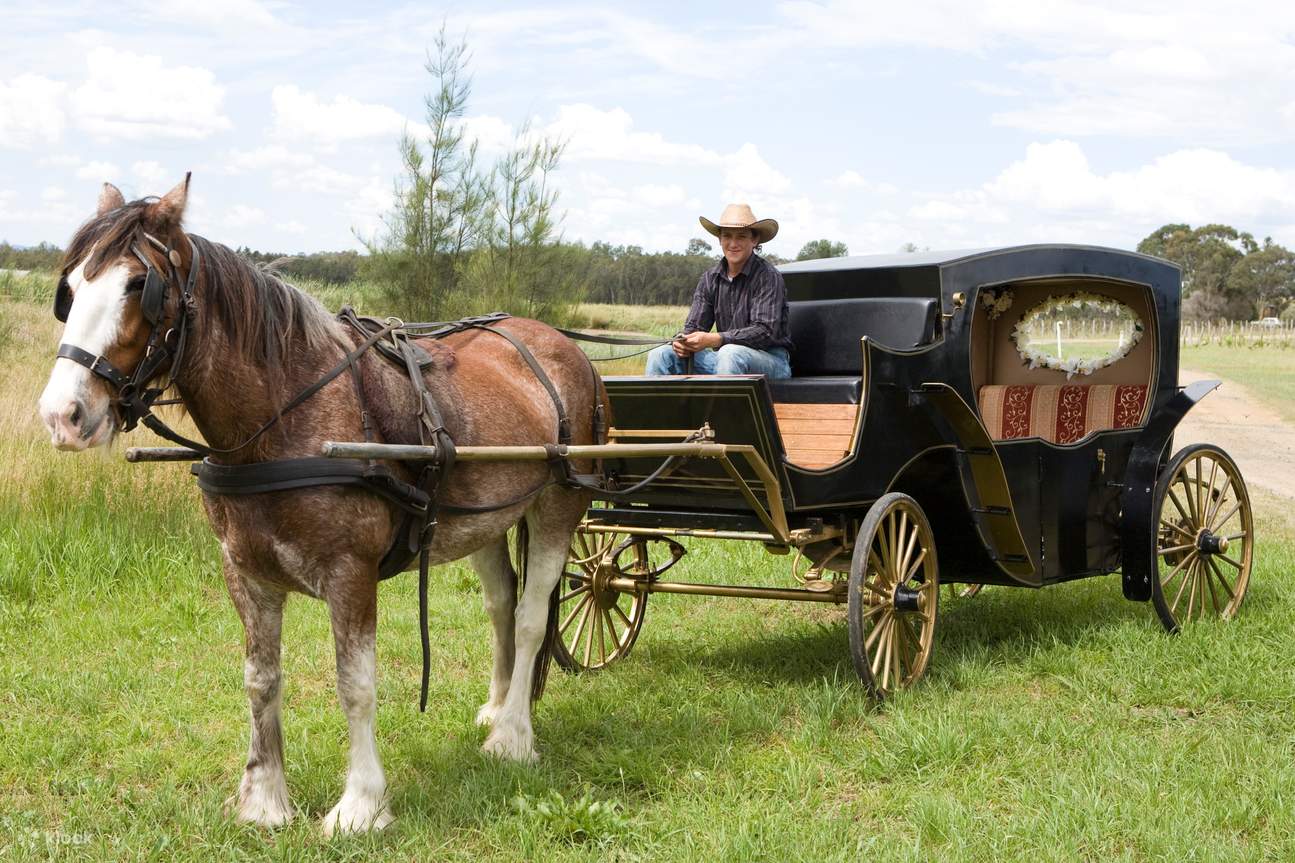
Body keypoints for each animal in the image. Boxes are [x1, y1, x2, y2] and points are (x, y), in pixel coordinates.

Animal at [36, 176, 600, 834]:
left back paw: (512, 736)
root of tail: (562, 346)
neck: (282, 420)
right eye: (71, 289)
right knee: (503, 604)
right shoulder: (246, 574)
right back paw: (496, 707)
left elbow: (354, 684)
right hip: (482, 520)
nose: (62, 415)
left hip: (558, 505)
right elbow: (260, 679)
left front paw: (361, 804)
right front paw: (263, 800)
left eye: (136, 286)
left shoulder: (350, 573)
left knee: (533, 615)